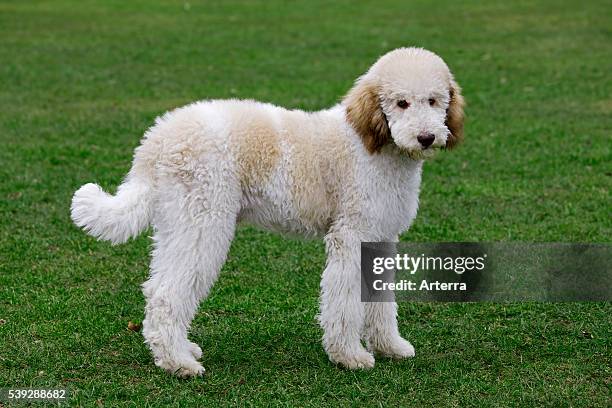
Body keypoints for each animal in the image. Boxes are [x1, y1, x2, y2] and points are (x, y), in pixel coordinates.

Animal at [70, 47, 464, 376]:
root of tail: (156, 140)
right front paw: (349, 356)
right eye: (401, 103)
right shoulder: (350, 236)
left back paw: (180, 350)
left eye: (434, 100)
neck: (372, 144)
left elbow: (381, 300)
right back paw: (178, 364)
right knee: (169, 294)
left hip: (179, 223)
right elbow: (345, 301)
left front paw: (390, 346)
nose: (426, 138)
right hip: (203, 223)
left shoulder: (381, 238)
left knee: (157, 289)